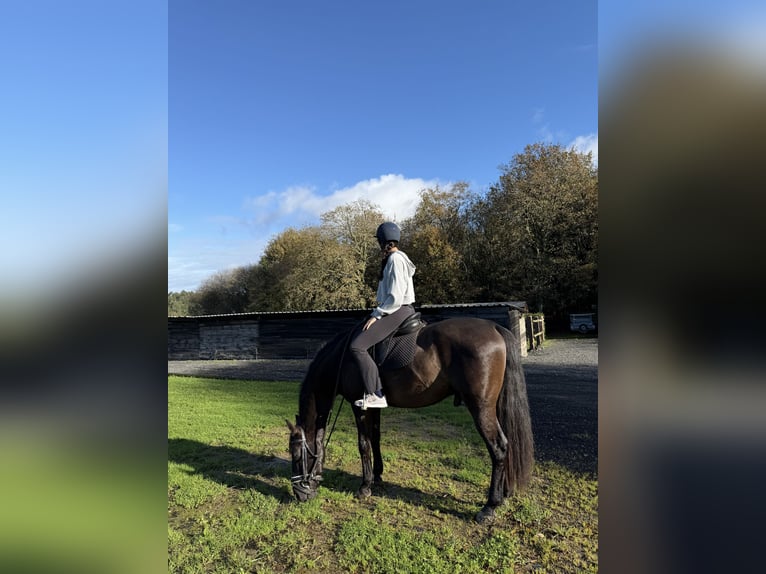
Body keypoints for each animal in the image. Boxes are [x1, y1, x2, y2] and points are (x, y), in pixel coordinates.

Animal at [285, 316, 534, 523]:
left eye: (296, 455)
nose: (299, 494)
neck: (342, 358)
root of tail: (494, 327)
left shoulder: (359, 407)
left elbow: (363, 444)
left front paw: (364, 486)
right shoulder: (374, 407)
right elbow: (375, 438)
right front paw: (377, 476)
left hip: (481, 408)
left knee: (499, 448)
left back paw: (490, 506)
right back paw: (503, 494)